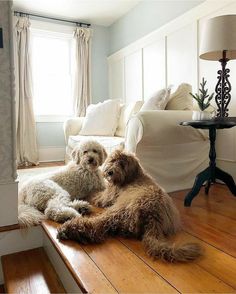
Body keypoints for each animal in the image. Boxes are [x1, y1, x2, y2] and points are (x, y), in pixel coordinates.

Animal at [56, 149, 201, 262]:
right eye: (112, 160)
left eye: (122, 164)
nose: (110, 172)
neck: (132, 176)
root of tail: (154, 216)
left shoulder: (108, 195)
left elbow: (95, 195)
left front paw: (85, 195)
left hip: (118, 210)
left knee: (96, 227)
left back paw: (69, 229)